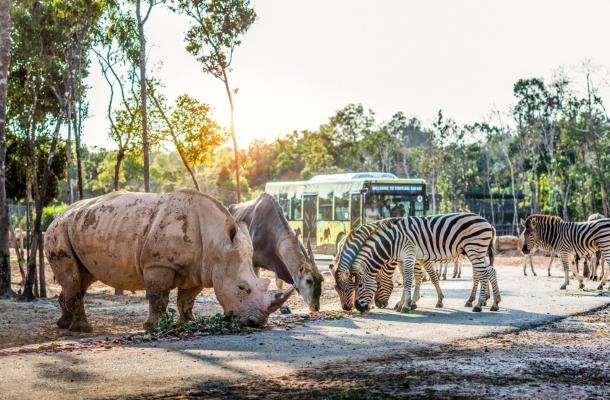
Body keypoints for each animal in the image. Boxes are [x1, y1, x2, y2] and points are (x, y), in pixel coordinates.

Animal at [350, 214, 496, 314]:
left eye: (360, 285)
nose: (358, 307)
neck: (392, 242)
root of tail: (487, 222)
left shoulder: (409, 254)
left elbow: (409, 281)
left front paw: (406, 305)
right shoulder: (404, 258)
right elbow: (407, 281)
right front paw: (404, 304)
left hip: (474, 250)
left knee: (483, 275)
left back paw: (478, 304)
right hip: (477, 252)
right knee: (491, 271)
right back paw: (494, 303)